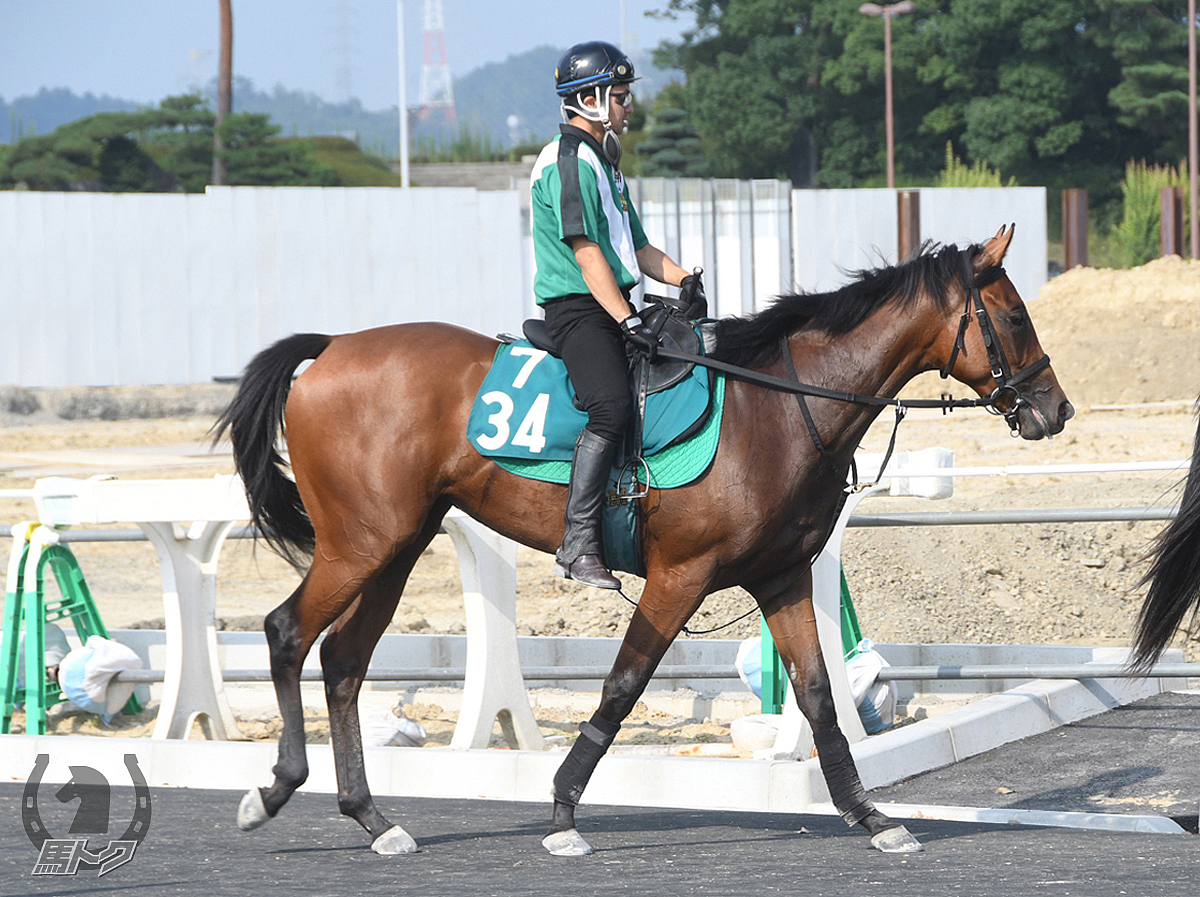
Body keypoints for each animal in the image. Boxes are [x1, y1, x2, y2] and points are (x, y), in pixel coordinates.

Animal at [220, 224, 1075, 853]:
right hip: (359, 545)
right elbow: (623, 685)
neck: (777, 407)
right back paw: (274, 787)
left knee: (343, 661)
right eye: (1015, 315)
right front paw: (563, 809)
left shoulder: (782, 577)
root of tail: (332, 346)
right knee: (288, 631)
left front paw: (869, 814)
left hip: (394, 549)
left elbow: (820, 695)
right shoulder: (679, 575)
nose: (1057, 409)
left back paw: (372, 817)